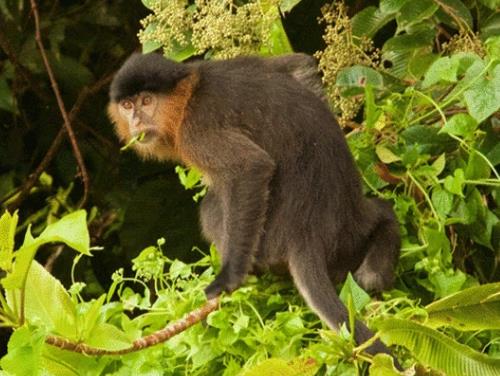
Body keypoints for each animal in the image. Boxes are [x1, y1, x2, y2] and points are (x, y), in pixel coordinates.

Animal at [107, 52, 400, 358]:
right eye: (127, 105)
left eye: (146, 101)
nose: (136, 119)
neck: (190, 93)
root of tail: (308, 235)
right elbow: (298, 64)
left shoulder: (196, 127)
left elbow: (251, 167)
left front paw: (229, 278)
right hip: (348, 235)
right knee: (376, 218)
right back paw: (380, 248)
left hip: (269, 243)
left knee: (211, 206)